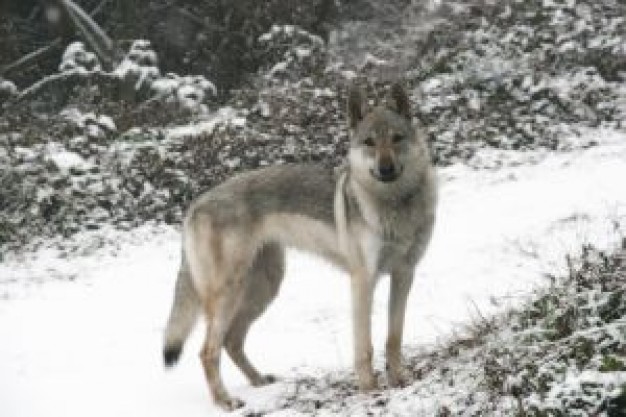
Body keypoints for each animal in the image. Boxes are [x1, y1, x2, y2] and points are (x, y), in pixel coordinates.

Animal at [161, 82, 434, 410]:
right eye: (369, 142)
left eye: (396, 138)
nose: (386, 168)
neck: (394, 204)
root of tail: (194, 205)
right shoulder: (363, 281)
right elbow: (364, 347)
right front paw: (370, 391)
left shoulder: (405, 274)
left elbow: (394, 338)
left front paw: (399, 381)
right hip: (231, 293)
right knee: (208, 351)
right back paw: (226, 401)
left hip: (264, 289)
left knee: (231, 341)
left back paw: (258, 381)